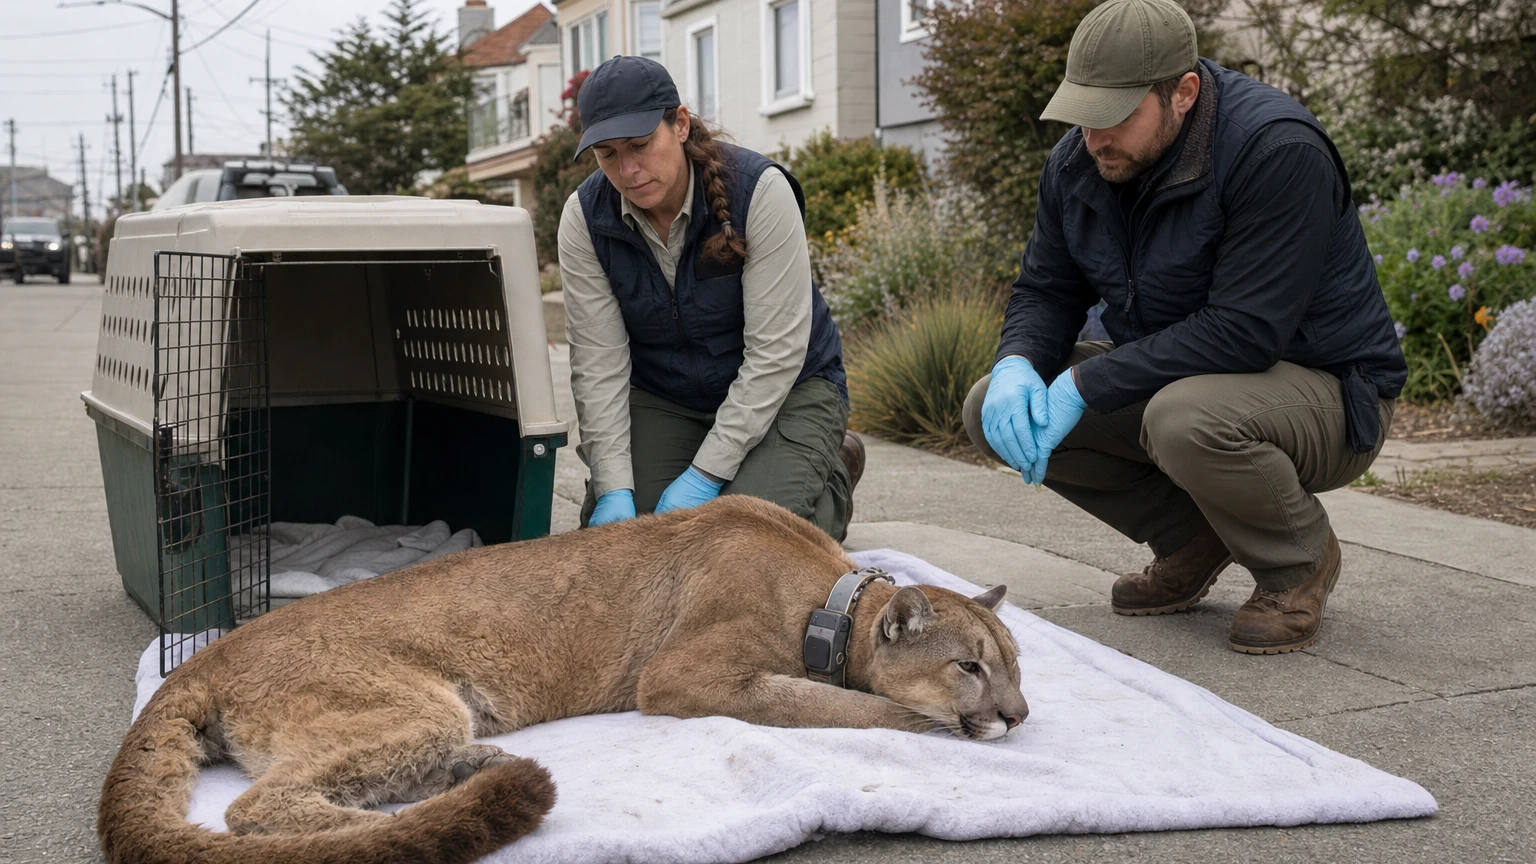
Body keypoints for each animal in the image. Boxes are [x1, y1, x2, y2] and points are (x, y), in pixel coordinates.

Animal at [98, 496, 1028, 864]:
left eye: (1017, 665)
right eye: (970, 665)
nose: (1019, 717)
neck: (833, 593)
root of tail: (207, 653)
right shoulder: (682, 675)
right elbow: (824, 700)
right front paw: (926, 726)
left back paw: (480, 772)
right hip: (413, 704)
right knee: (256, 810)